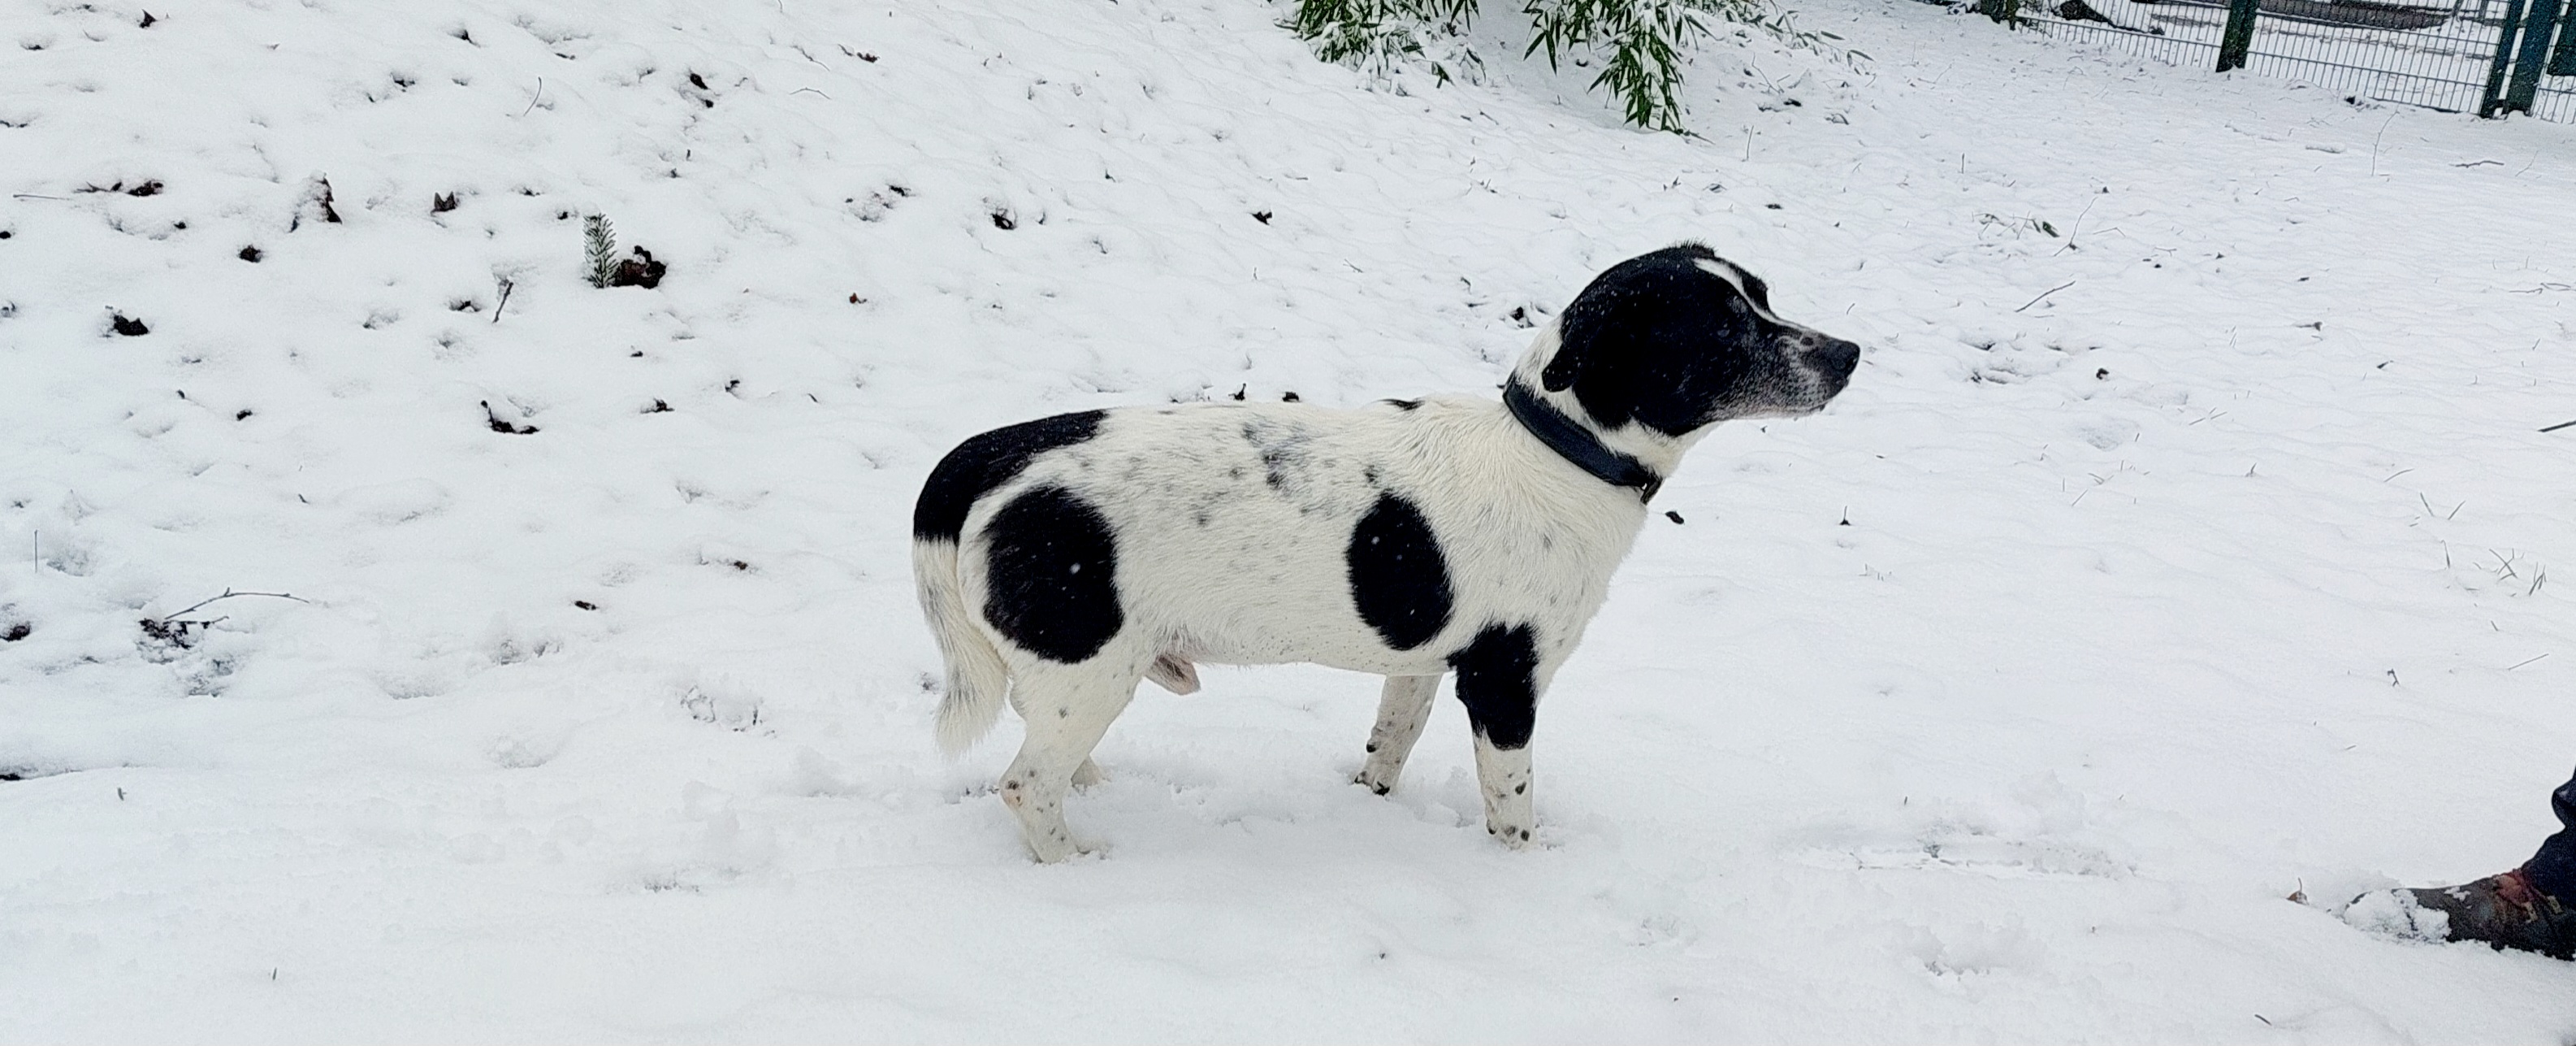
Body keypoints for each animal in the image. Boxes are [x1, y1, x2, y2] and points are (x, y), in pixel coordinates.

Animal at [912, 243, 1858, 861]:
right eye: (1723, 331)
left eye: (1762, 296)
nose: (1851, 352)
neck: (1559, 449)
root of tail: (994, 454)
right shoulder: (1503, 684)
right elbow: (1511, 806)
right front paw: (1526, 872)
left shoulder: (1419, 667)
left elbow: (1389, 744)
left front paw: (1368, 801)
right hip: (1092, 666)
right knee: (1023, 784)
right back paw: (1073, 858)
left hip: (1080, 675)